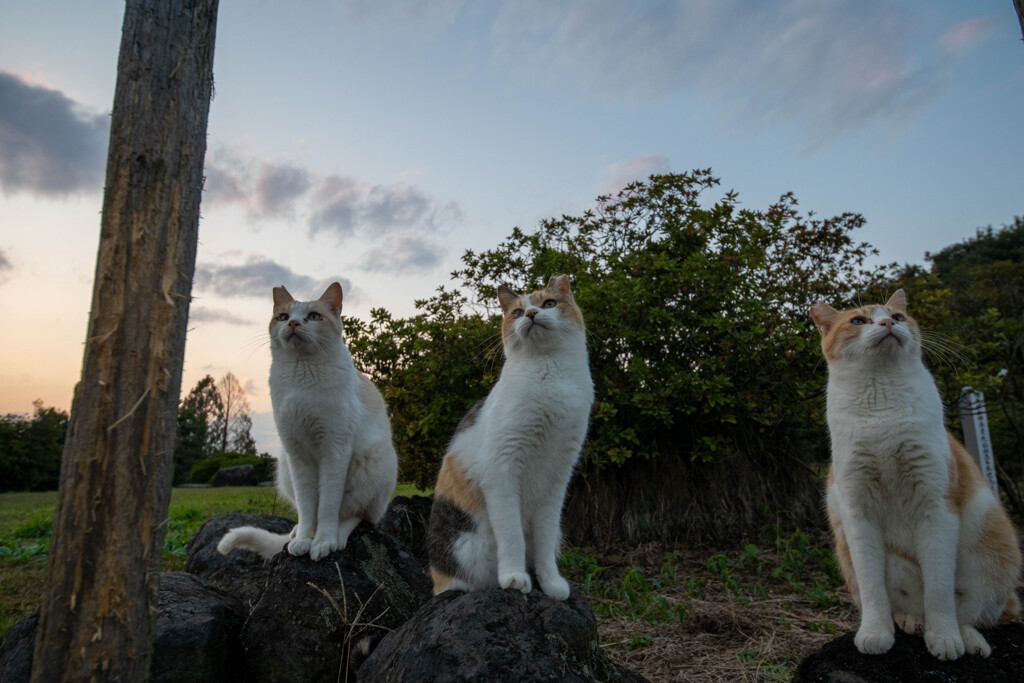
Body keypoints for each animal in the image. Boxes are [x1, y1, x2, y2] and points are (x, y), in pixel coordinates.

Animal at [218, 282, 397, 561]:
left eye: (313, 316)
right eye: (283, 316)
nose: (293, 323)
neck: (302, 372)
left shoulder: (334, 449)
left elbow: (327, 507)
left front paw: (322, 541)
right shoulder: (296, 453)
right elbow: (306, 507)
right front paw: (303, 539)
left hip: (375, 461)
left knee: (356, 515)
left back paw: (337, 537)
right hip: (284, 467)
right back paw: (294, 534)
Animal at [423, 274, 593, 602]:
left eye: (549, 303)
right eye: (517, 312)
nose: (531, 314)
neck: (549, 374)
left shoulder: (557, 478)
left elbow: (543, 540)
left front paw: (550, 583)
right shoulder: (502, 470)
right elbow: (512, 533)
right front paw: (514, 577)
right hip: (464, 549)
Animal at [811, 290, 1019, 659]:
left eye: (897, 316)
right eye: (858, 321)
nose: (887, 323)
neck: (881, 404)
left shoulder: (935, 507)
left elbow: (939, 587)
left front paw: (945, 636)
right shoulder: (857, 513)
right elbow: (873, 587)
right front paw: (876, 632)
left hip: (992, 548)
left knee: (972, 612)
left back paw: (967, 638)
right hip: (847, 550)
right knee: (904, 605)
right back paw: (911, 620)